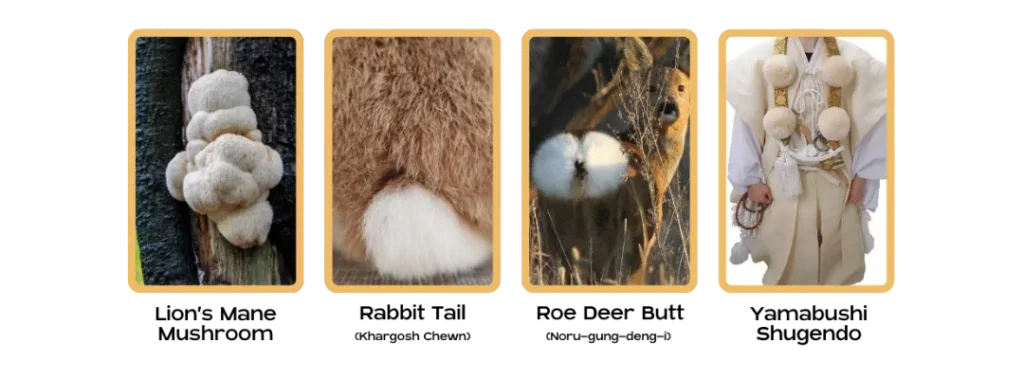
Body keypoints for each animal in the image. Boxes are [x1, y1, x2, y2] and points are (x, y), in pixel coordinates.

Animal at [528, 36, 688, 284]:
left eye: (682, 87)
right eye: (651, 87)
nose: (668, 106)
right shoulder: (642, 235)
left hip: (552, 228)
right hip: (604, 227)